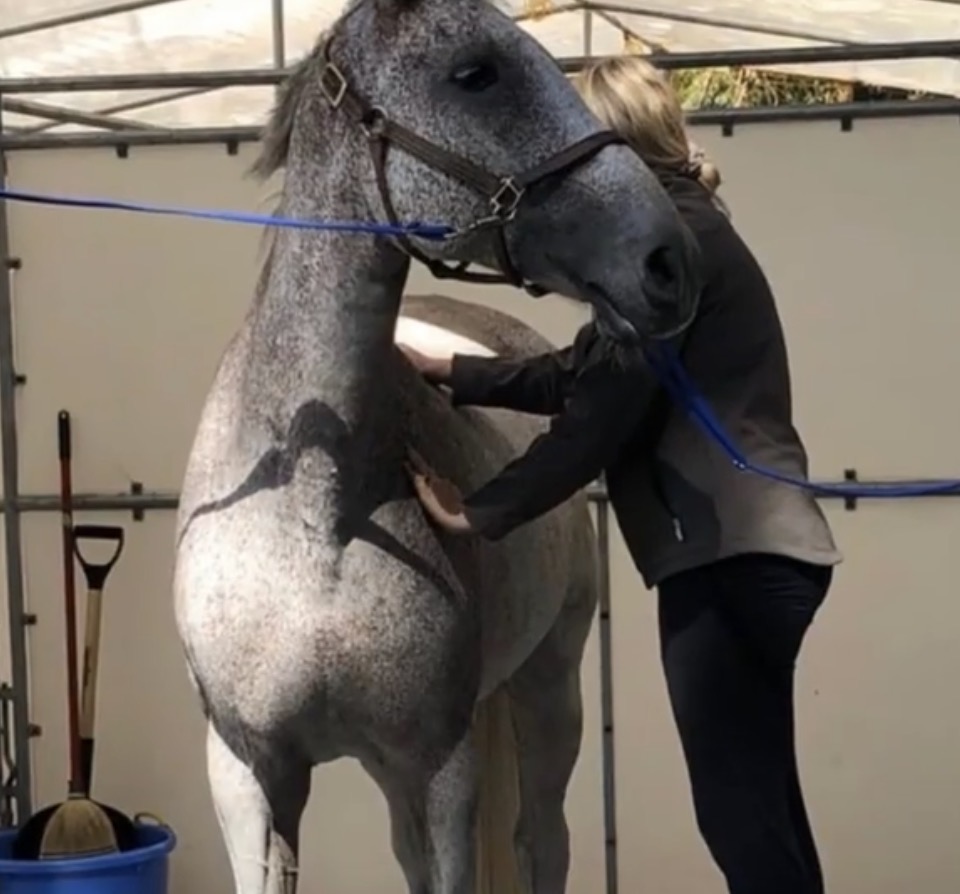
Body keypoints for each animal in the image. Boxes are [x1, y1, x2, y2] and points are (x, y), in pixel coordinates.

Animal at [172, 1, 700, 892]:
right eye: (475, 73)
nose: (667, 261)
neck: (314, 507)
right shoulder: (248, 774)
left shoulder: (438, 764)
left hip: (547, 685)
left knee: (542, 840)